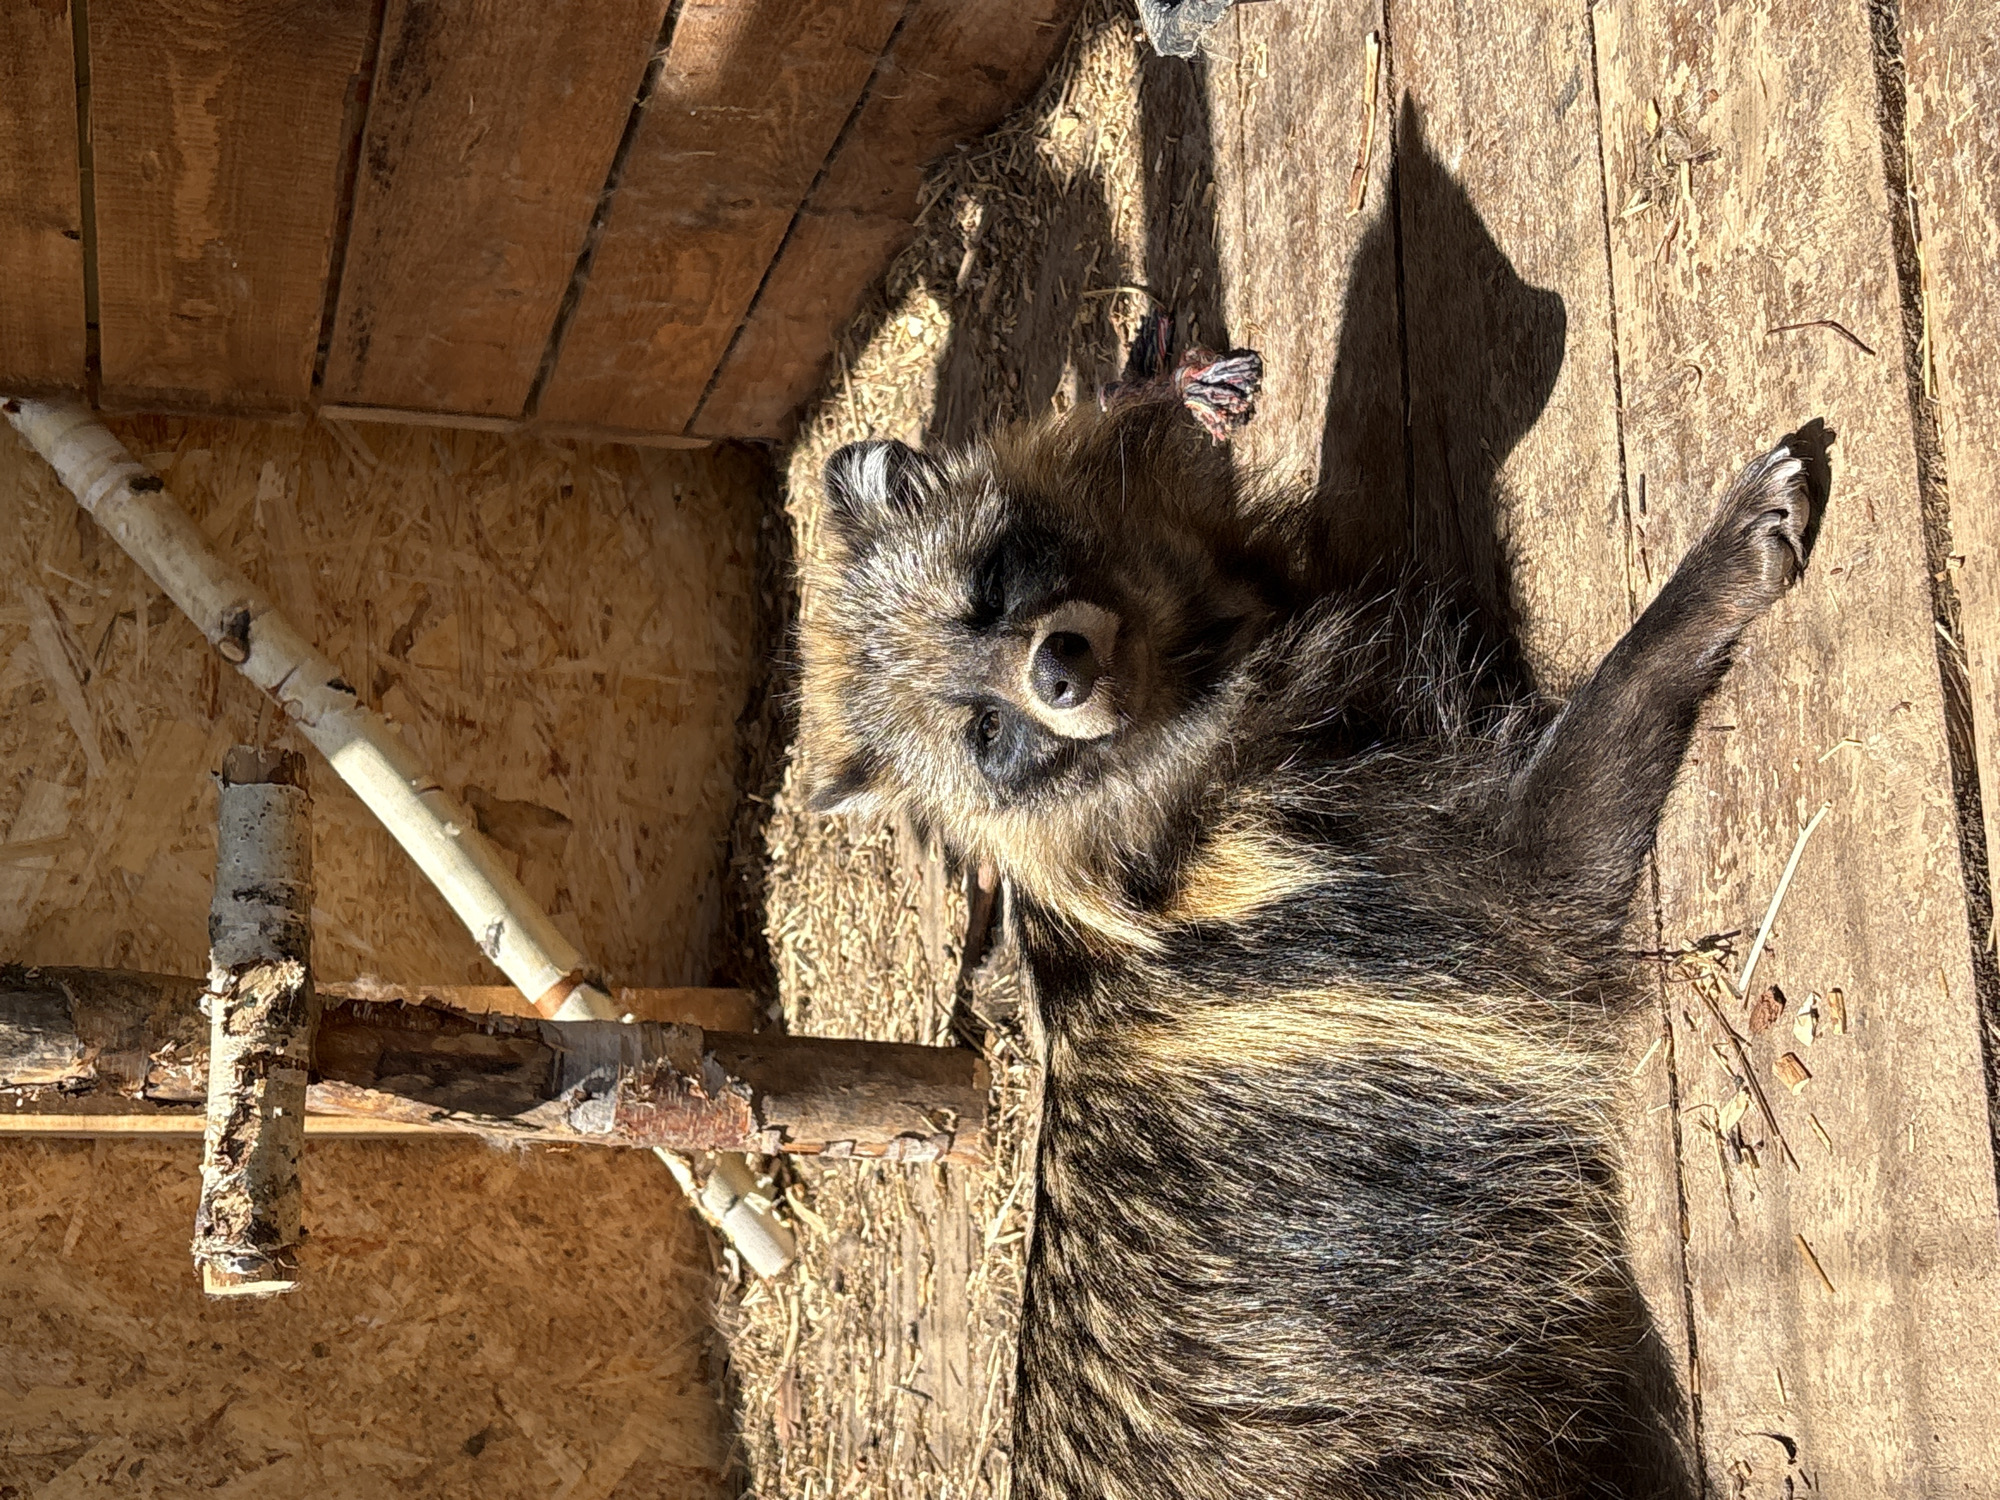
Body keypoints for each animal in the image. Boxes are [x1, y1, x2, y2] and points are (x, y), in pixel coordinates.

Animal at [798, 363, 1822, 1498]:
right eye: (985, 735)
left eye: (989, 587)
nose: (1057, 670)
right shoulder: (1425, 889)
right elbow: (1593, 749)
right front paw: (1702, 588)